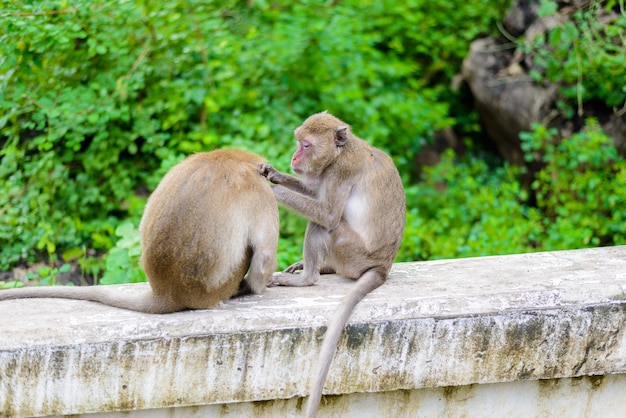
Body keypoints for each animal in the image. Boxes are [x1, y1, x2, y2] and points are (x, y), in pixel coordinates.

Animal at [0, 150, 278, 314]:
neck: (232, 159)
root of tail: (168, 292)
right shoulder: (261, 193)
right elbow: (264, 255)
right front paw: (257, 286)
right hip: (216, 288)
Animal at [258, 111, 404, 418]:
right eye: (298, 142)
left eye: (306, 145)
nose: (294, 157)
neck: (340, 153)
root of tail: (383, 266)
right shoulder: (326, 172)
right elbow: (314, 192)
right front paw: (272, 174)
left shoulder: (340, 171)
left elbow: (327, 214)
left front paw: (271, 190)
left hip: (350, 250)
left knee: (322, 225)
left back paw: (308, 277)